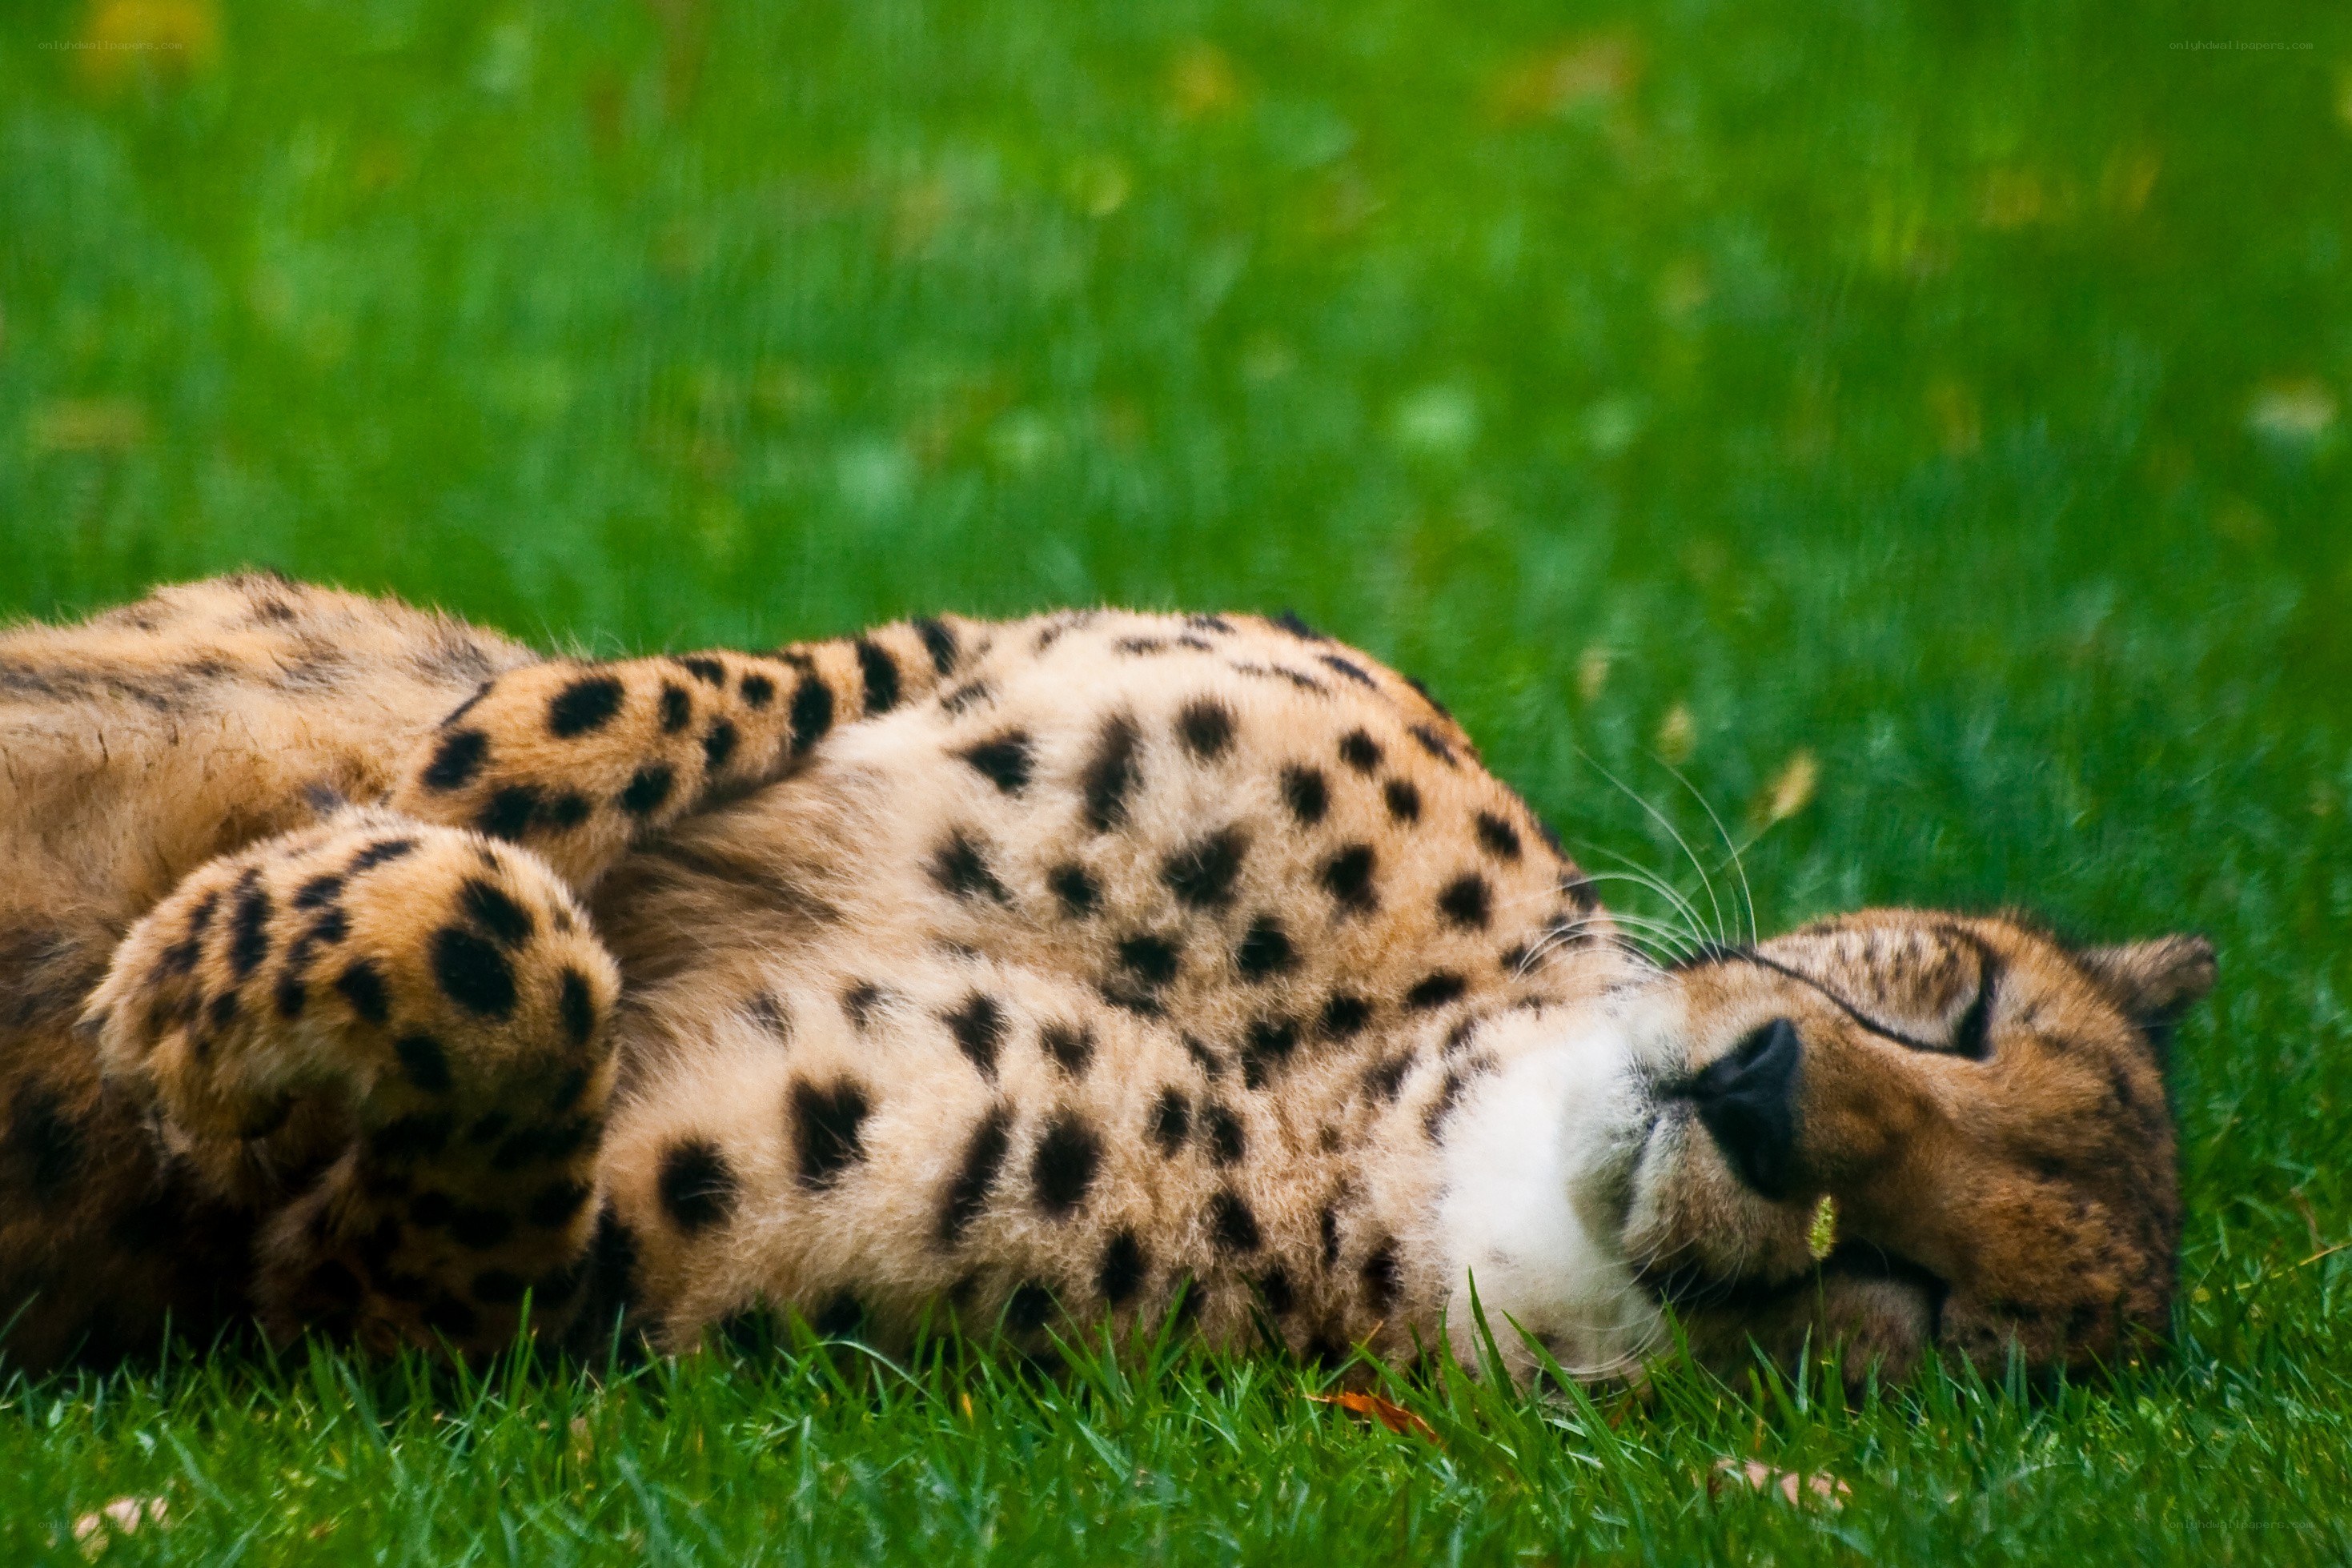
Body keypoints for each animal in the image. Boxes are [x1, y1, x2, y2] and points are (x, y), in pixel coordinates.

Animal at [0, 573, 2213, 1384]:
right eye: (1951, 1003)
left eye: (1916, 1299)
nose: (1755, 1096)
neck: (1402, 1106)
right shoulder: (987, 649)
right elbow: (676, 690)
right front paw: (419, 784)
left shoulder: (421, 1305)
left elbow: (521, 974)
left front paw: (203, 976)